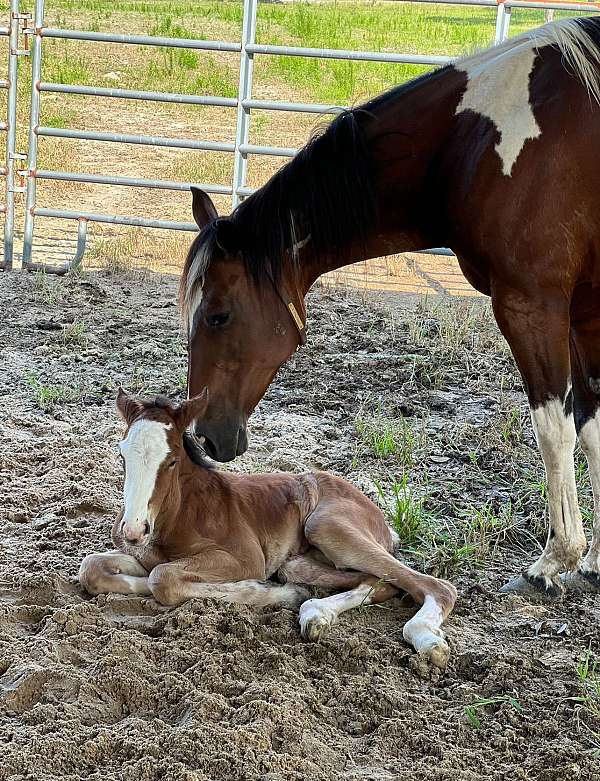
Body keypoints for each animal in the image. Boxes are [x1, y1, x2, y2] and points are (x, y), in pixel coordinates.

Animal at [78, 390, 454, 672]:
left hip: (326, 526)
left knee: (437, 587)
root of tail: (378, 514)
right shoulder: (144, 556)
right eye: (122, 455)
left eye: (171, 460)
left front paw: (260, 591)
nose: (133, 530)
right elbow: (93, 569)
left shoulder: (246, 558)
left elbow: (163, 579)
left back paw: (426, 639)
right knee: (378, 581)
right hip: (299, 562)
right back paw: (315, 613)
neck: (182, 514)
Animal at [179, 18, 600, 596]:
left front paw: (557, 558)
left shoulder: (533, 307)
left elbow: (555, 431)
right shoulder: (583, 313)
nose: (203, 439)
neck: (472, 145)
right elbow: (593, 425)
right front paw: (593, 559)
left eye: (218, 315)